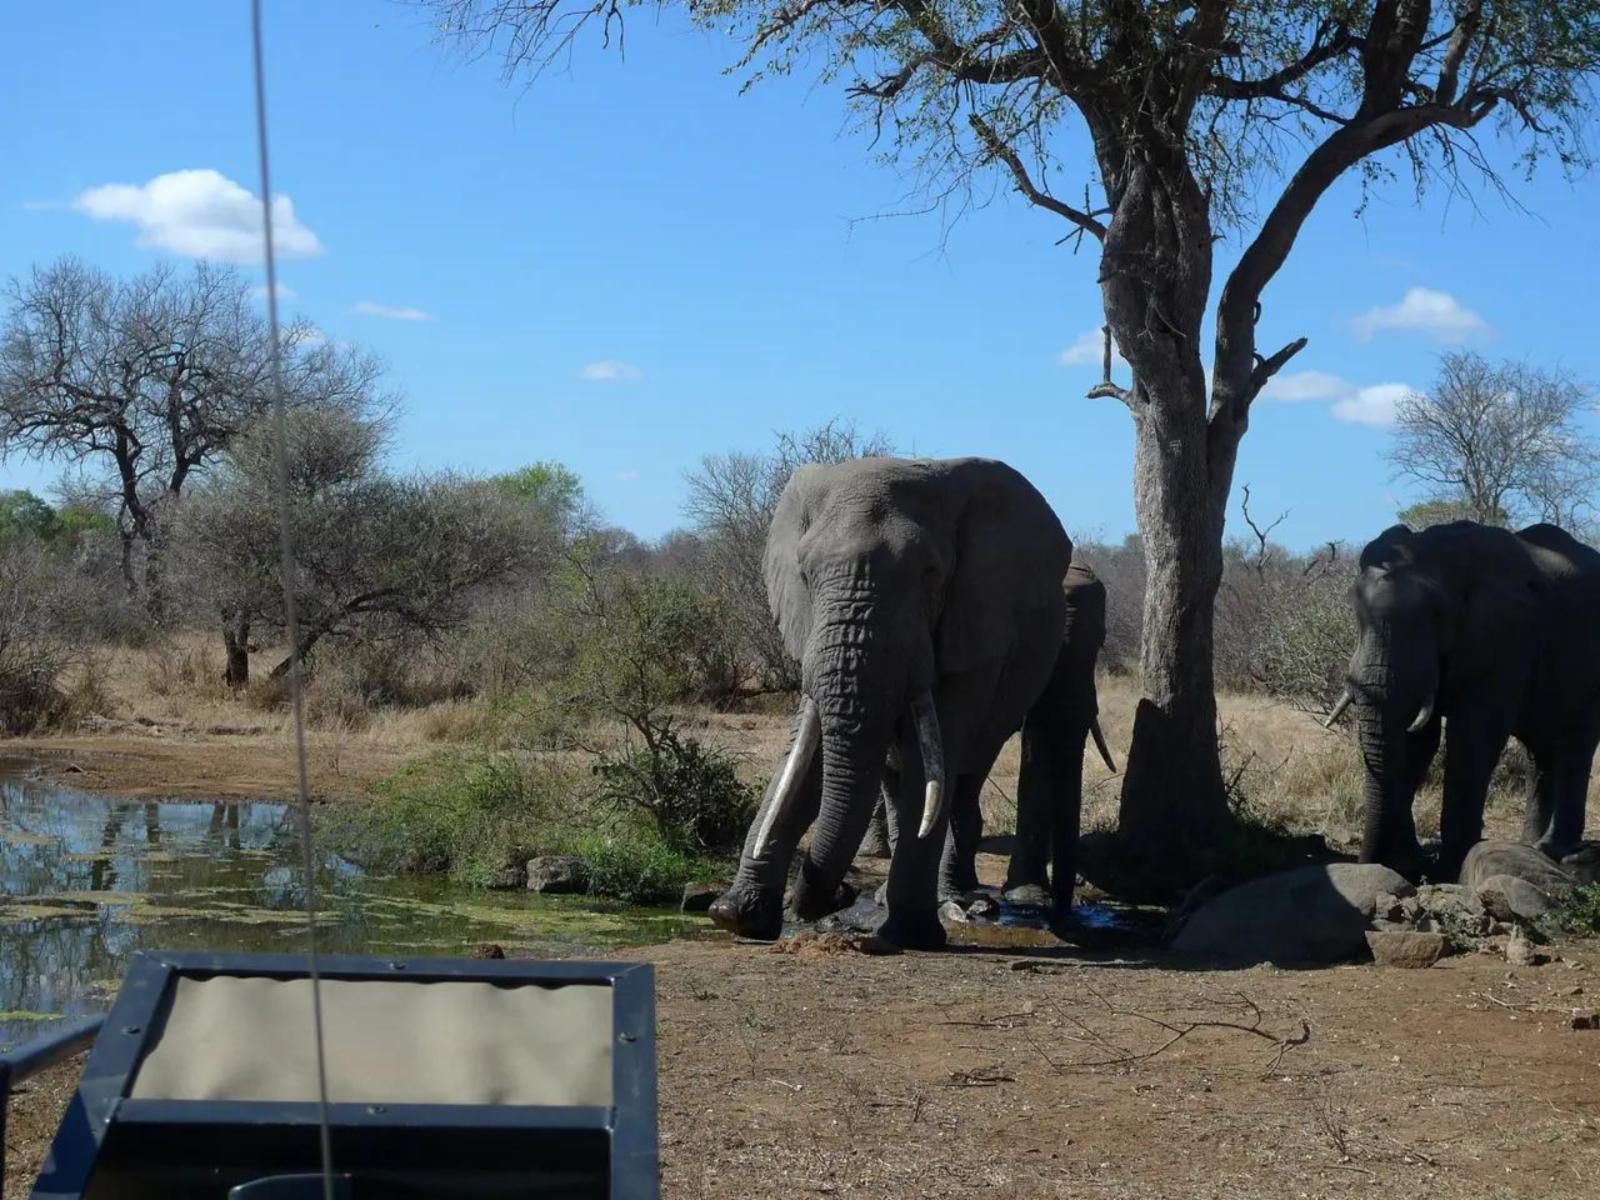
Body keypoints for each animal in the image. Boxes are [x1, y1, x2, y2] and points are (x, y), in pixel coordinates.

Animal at [710, 454, 1075, 953]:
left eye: (930, 574)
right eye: (805, 573)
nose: (839, 895)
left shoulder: (974, 628)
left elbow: (933, 763)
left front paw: (910, 935)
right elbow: (806, 759)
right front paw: (736, 917)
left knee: (959, 783)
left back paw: (953, 901)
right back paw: (888, 897)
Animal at [1324, 521, 1600, 876]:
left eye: (1437, 615)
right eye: (1355, 610)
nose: (1367, 864)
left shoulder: (1506, 636)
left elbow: (1473, 738)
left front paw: (1450, 868)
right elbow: (1416, 741)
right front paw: (1408, 864)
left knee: (1575, 745)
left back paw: (1554, 852)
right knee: (1539, 754)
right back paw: (1529, 847)